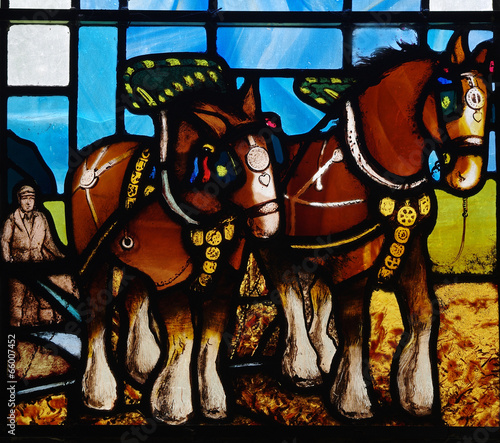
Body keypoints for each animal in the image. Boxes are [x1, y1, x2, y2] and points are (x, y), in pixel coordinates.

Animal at [69, 78, 282, 424]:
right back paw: (99, 392)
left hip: (132, 253)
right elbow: (186, 335)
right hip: (95, 257)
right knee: (98, 311)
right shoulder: (171, 275)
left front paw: (213, 402)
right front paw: (173, 404)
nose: (270, 220)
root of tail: (97, 152)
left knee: (135, 297)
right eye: (231, 168)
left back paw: (142, 367)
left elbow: (210, 338)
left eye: (270, 152)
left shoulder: (224, 277)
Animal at [262, 31, 492, 420]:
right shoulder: (353, 259)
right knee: (288, 291)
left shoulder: (411, 249)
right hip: (273, 245)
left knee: (316, 291)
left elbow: (424, 313)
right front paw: (354, 400)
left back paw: (324, 355)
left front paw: (417, 393)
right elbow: (355, 323)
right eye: (449, 100)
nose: (468, 175)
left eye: (489, 100)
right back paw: (302, 365)